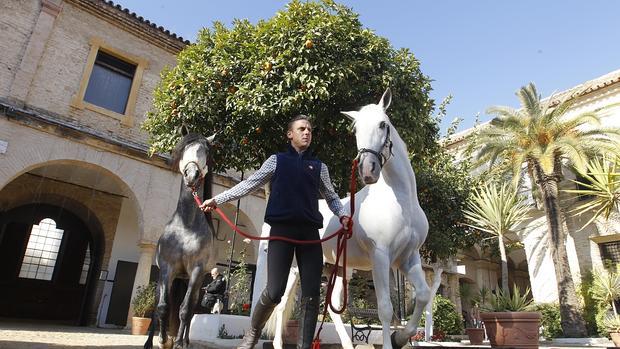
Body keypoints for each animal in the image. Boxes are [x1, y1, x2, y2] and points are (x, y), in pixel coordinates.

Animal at [145, 130, 217, 348]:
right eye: (184, 148)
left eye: (206, 151)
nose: (191, 175)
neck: (186, 226)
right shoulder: (167, 268)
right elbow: (162, 307)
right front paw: (163, 340)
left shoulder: (196, 270)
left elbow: (185, 310)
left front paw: (176, 342)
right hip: (168, 280)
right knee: (158, 307)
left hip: (194, 282)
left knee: (190, 308)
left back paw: (184, 340)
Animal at [266, 89, 432, 348]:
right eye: (356, 130)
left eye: (383, 124)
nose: (367, 170)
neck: (402, 202)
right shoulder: (381, 256)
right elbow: (385, 308)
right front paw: (391, 342)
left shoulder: (407, 258)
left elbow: (423, 295)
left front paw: (400, 337)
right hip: (292, 268)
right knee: (281, 305)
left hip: (336, 269)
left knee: (333, 307)